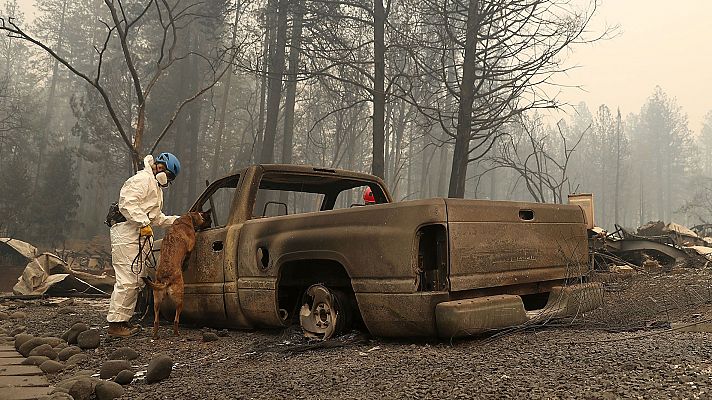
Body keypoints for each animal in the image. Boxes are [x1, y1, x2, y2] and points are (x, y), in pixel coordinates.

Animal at [143, 211, 210, 340]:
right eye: (202, 217)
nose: (208, 223)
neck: (184, 220)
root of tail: (166, 279)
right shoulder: (191, 244)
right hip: (180, 299)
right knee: (176, 319)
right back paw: (176, 333)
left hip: (157, 301)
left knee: (156, 320)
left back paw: (155, 335)